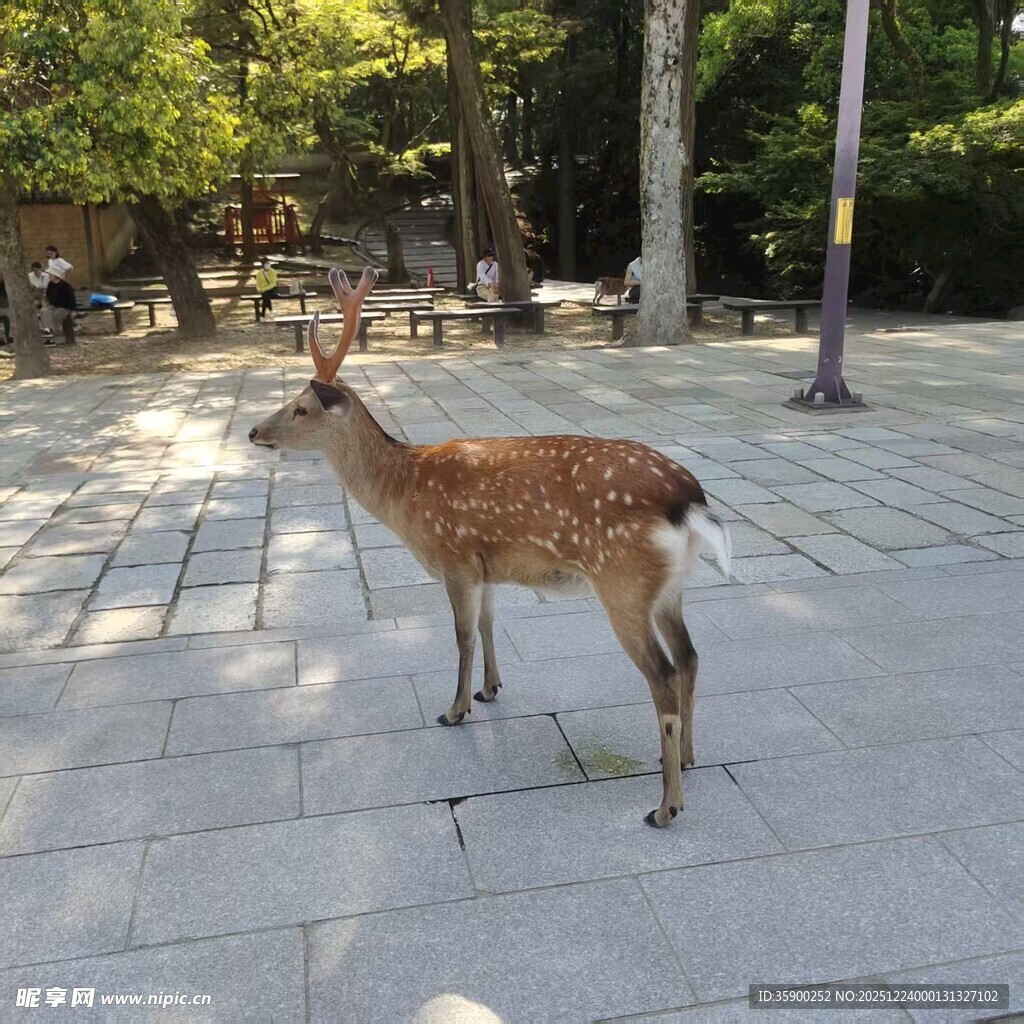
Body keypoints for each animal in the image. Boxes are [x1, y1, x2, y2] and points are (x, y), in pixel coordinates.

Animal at [249, 266, 732, 827]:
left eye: (301, 408)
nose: (254, 430)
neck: (405, 496)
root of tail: (688, 499)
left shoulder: (454, 557)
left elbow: (461, 636)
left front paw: (454, 709)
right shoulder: (485, 565)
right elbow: (486, 624)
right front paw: (490, 689)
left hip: (624, 584)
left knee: (664, 675)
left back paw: (666, 805)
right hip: (671, 587)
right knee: (690, 657)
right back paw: (687, 757)